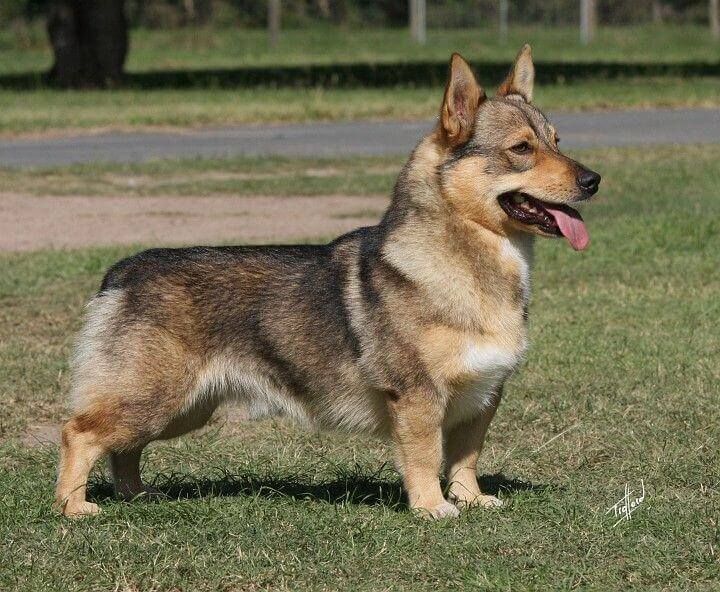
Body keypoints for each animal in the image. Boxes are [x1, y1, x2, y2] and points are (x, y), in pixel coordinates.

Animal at [56, 46, 600, 520]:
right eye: (521, 149)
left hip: (183, 409)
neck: (468, 264)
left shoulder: (483, 396)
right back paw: (75, 508)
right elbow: (426, 457)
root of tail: (123, 274)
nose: (594, 180)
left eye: (557, 141)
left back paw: (136, 496)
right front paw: (433, 508)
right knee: (78, 432)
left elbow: (466, 457)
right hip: (154, 400)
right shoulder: (418, 396)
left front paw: (472, 500)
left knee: (124, 450)